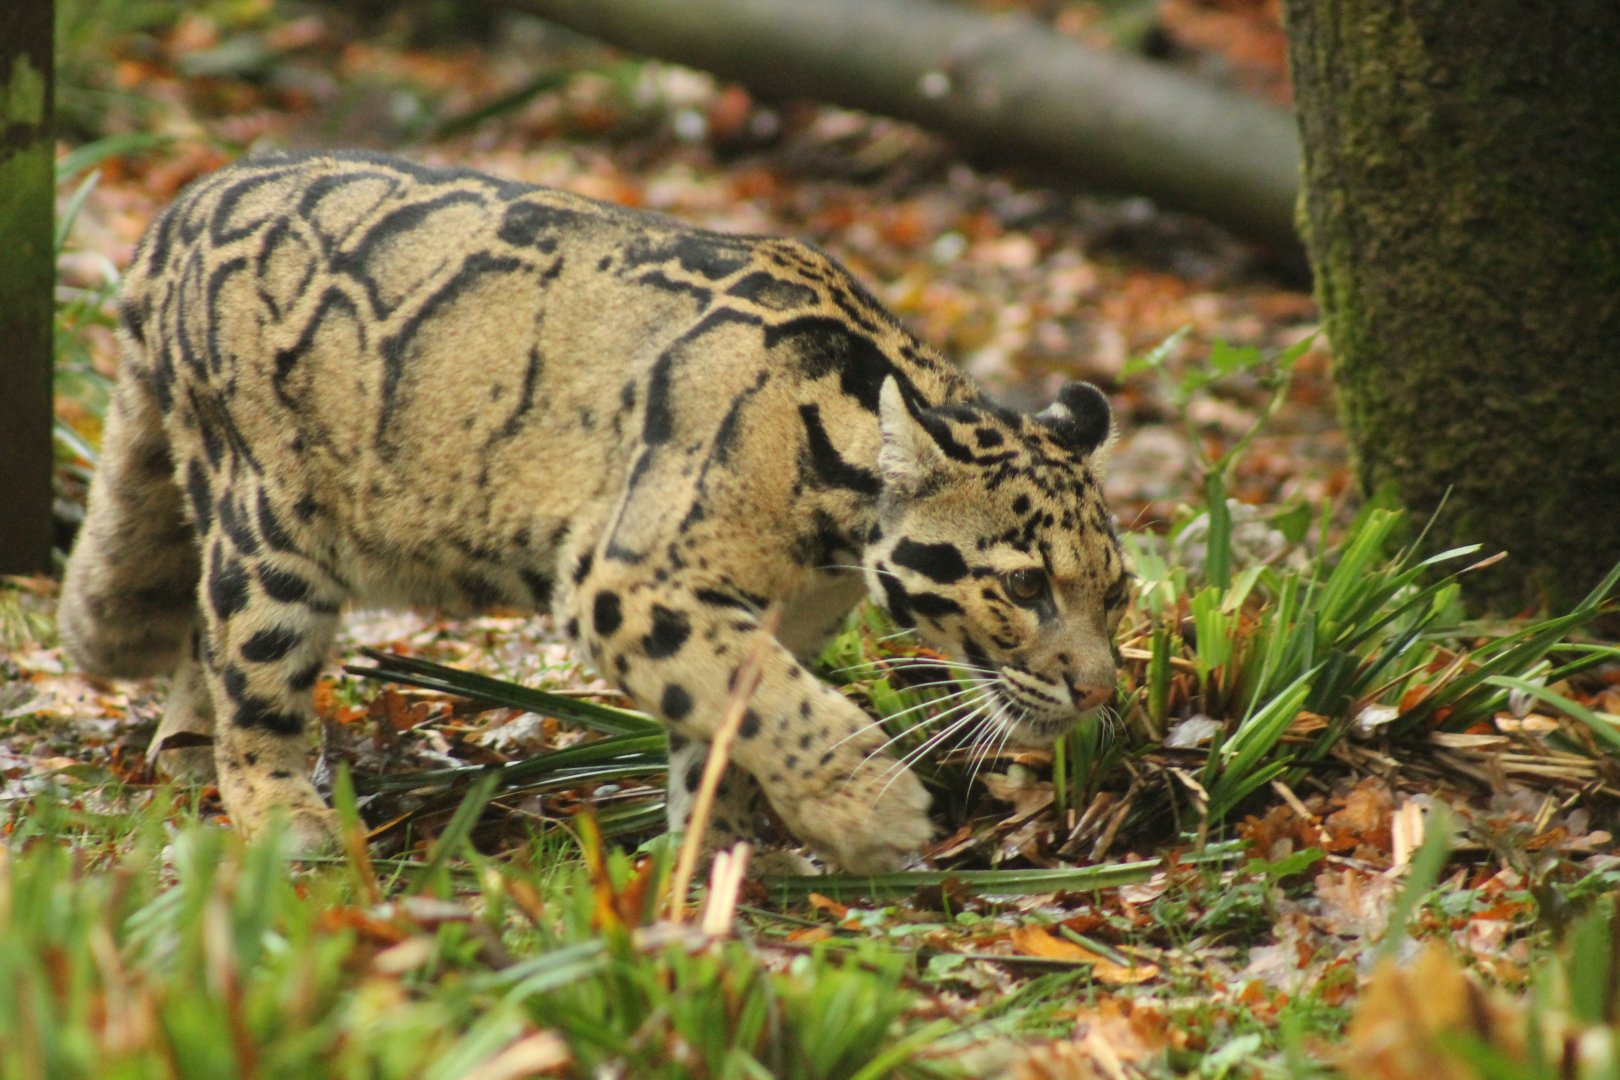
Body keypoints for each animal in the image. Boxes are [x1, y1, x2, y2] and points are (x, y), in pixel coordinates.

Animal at [58, 150, 1130, 873]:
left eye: (1117, 595)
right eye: (1025, 587)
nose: (1100, 692)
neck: (834, 527)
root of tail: (185, 206)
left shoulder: (754, 618)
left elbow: (731, 726)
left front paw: (712, 863)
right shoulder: (632, 582)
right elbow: (776, 702)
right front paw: (870, 812)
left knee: (200, 635)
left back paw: (183, 750)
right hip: (269, 526)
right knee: (251, 678)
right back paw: (287, 816)